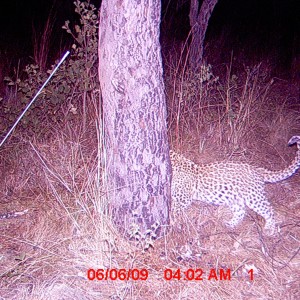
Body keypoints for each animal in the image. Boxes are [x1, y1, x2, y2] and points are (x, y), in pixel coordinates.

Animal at [171, 135, 300, 236]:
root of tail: (258, 170)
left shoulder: (182, 198)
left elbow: (174, 211)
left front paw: (171, 223)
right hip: (233, 197)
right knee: (241, 211)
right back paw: (229, 224)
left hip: (254, 197)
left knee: (269, 209)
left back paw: (269, 229)